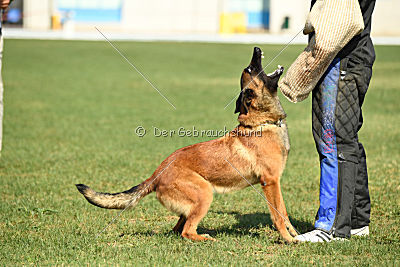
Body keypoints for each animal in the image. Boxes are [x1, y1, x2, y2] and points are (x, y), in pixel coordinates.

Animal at [76, 47, 298, 244]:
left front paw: (295, 234)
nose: (256, 48)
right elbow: (278, 215)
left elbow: (284, 212)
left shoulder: (275, 182)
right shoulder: (269, 182)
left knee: (177, 229)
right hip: (204, 194)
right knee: (186, 231)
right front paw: (288, 239)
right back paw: (206, 239)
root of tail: (155, 175)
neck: (262, 121)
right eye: (251, 68)